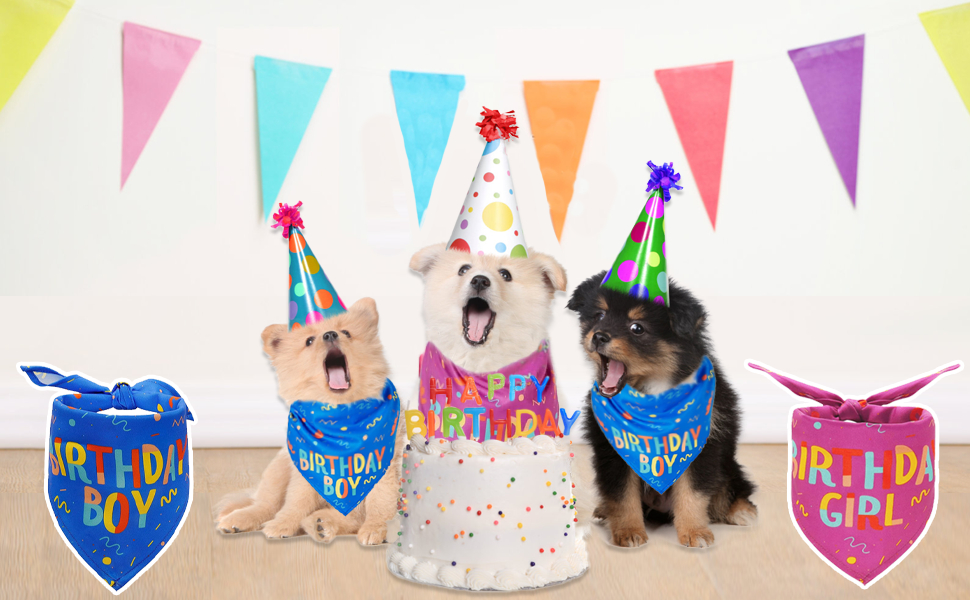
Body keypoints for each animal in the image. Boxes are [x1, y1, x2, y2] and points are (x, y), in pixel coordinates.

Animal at [215, 298, 400, 548]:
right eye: (309, 341)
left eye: (346, 332)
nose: (330, 334)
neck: (341, 422)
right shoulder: (305, 469)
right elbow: (296, 501)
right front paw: (283, 525)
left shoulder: (385, 469)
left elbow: (380, 504)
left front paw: (375, 529)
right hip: (279, 466)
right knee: (266, 504)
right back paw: (239, 519)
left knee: (349, 518)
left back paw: (321, 524)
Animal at [568, 274, 756, 548]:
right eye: (599, 315)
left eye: (637, 328)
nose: (599, 336)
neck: (652, 397)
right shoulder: (612, 450)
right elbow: (621, 495)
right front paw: (628, 531)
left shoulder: (703, 444)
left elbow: (693, 493)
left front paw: (695, 532)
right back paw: (604, 510)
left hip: (728, 465)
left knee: (733, 488)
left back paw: (741, 511)